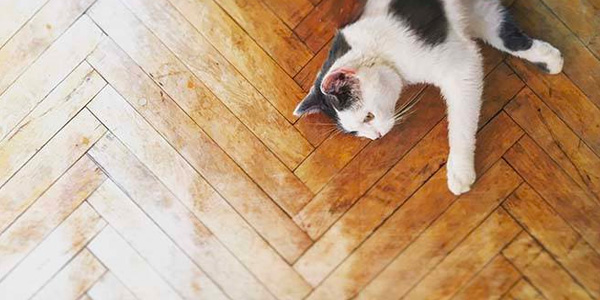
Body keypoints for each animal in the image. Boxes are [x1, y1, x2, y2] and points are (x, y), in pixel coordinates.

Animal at [292, 0, 564, 195]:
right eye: (356, 133)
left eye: (367, 116)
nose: (376, 137)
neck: (380, 50)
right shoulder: (475, 11)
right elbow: (505, 35)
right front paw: (549, 58)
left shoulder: (461, 67)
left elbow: (461, 123)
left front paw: (459, 170)